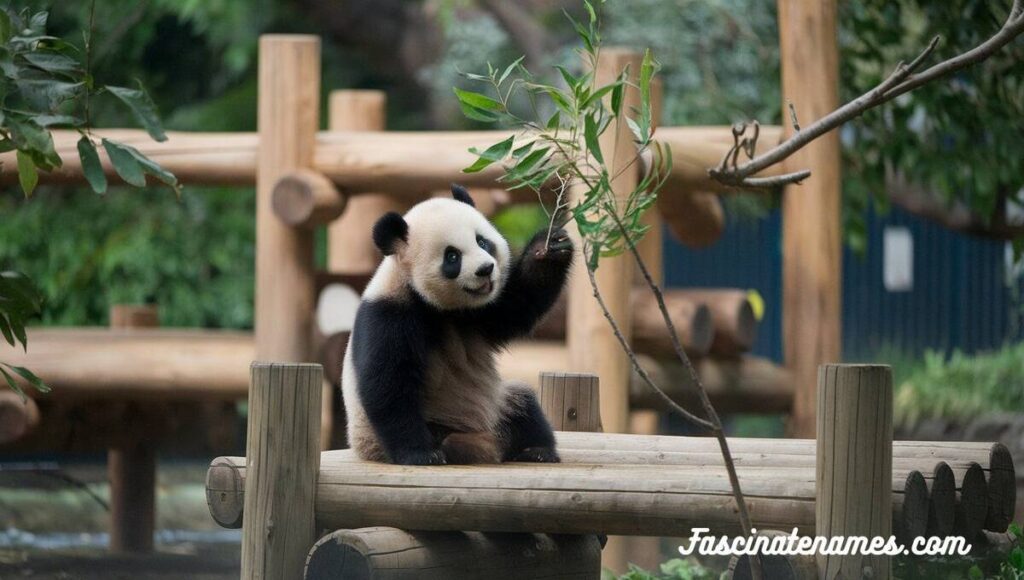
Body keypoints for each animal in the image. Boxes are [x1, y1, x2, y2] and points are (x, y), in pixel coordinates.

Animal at [339, 186, 573, 469]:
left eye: (482, 242)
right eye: (452, 256)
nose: (486, 269)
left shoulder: (479, 314)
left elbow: (518, 307)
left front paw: (550, 248)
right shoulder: (389, 315)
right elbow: (389, 384)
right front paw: (419, 454)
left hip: (498, 407)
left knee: (522, 403)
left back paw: (535, 449)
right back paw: (450, 447)